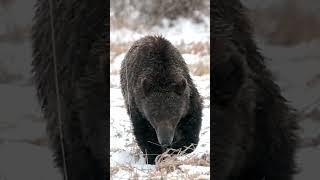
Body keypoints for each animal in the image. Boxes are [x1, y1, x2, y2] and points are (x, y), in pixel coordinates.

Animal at [120, 35, 202, 164]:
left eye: (174, 115)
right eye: (154, 115)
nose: (165, 141)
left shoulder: (189, 102)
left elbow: (191, 132)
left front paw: (174, 149)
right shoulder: (138, 107)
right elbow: (144, 133)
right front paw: (154, 156)